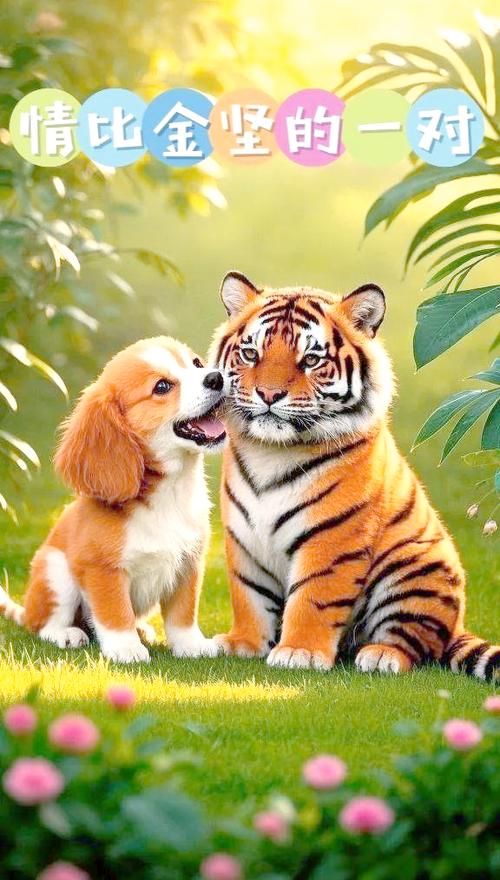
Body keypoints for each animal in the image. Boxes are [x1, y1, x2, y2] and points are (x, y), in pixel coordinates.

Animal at [208, 270, 499, 682]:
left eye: (311, 359)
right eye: (251, 354)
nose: (268, 394)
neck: (271, 451)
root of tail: (456, 627)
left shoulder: (332, 536)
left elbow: (313, 596)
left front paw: (299, 652)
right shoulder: (243, 535)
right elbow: (248, 593)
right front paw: (242, 644)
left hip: (416, 567)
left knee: (416, 643)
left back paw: (381, 655)